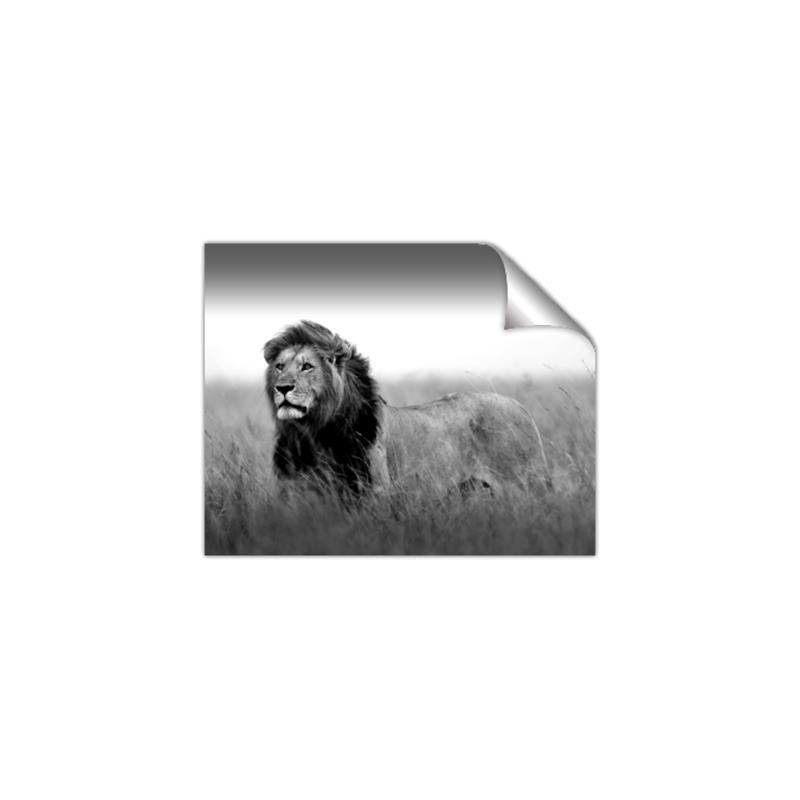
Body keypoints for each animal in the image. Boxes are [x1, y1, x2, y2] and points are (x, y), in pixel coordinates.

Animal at [263, 321, 546, 497]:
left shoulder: (374, 493)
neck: (313, 432)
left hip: (523, 486)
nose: (282, 388)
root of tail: (519, 405)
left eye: (306, 366)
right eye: (279, 367)